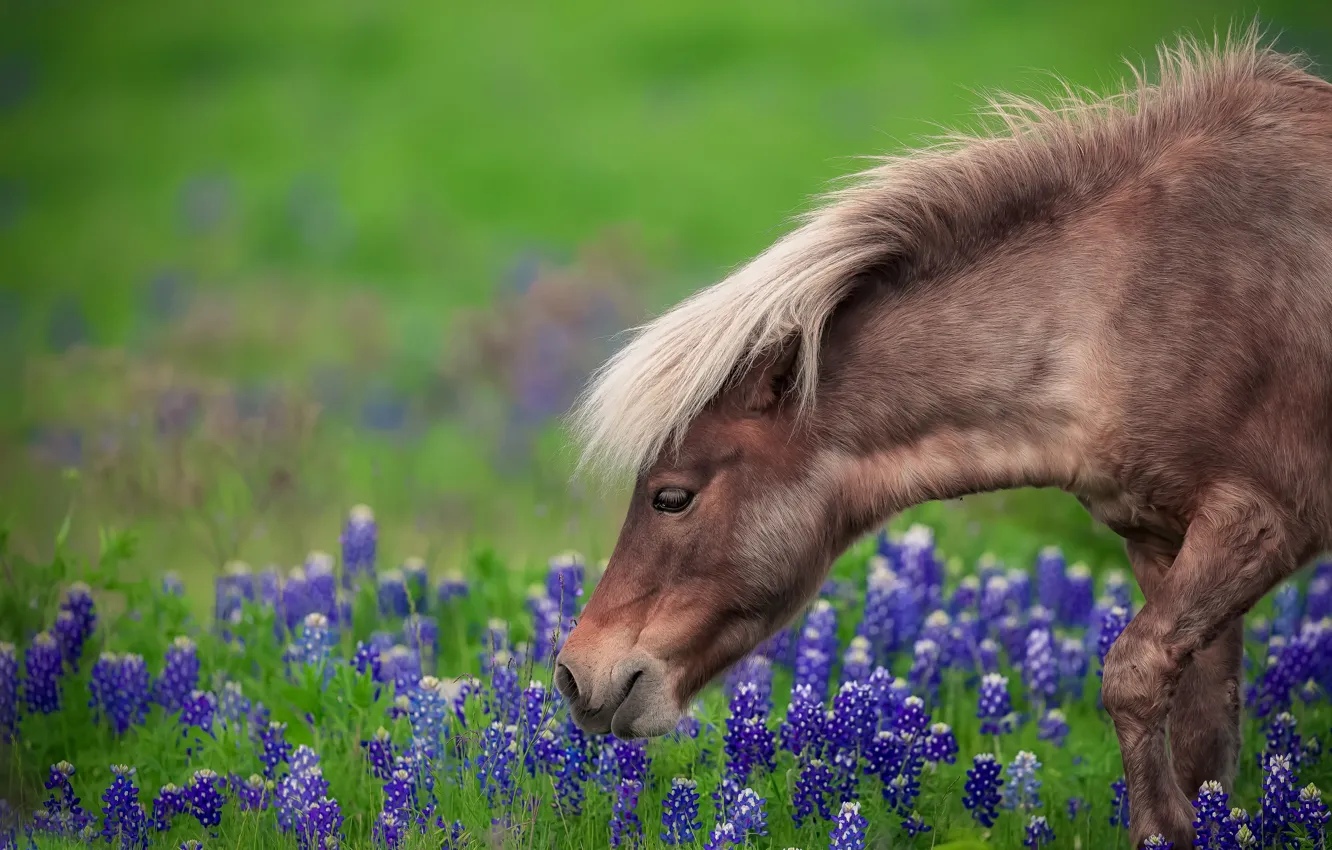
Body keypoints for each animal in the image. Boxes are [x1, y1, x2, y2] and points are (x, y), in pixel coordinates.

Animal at [551, 26, 1332, 850]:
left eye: (672, 497)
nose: (574, 673)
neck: (1124, 310)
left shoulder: (1262, 516)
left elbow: (1134, 672)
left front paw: (1167, 825)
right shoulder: (1161, 536)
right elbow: (1204, 735)